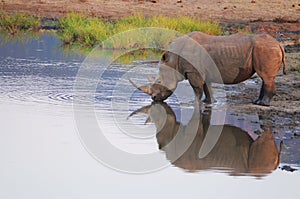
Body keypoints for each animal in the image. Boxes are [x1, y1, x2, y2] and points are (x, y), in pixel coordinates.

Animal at [131, 31, 286, 105]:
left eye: (159, 82)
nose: (154, 99)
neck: (173, 60)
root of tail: (279, 44)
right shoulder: (203, 71)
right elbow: (207, 88)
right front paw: (209, 102)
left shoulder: (194, 71)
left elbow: (197, 89)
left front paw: (194, 103)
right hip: (265, 48)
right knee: (265, 77)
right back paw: (256, 102)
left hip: (265, 49)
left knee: (266, 76)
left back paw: (263, 104)